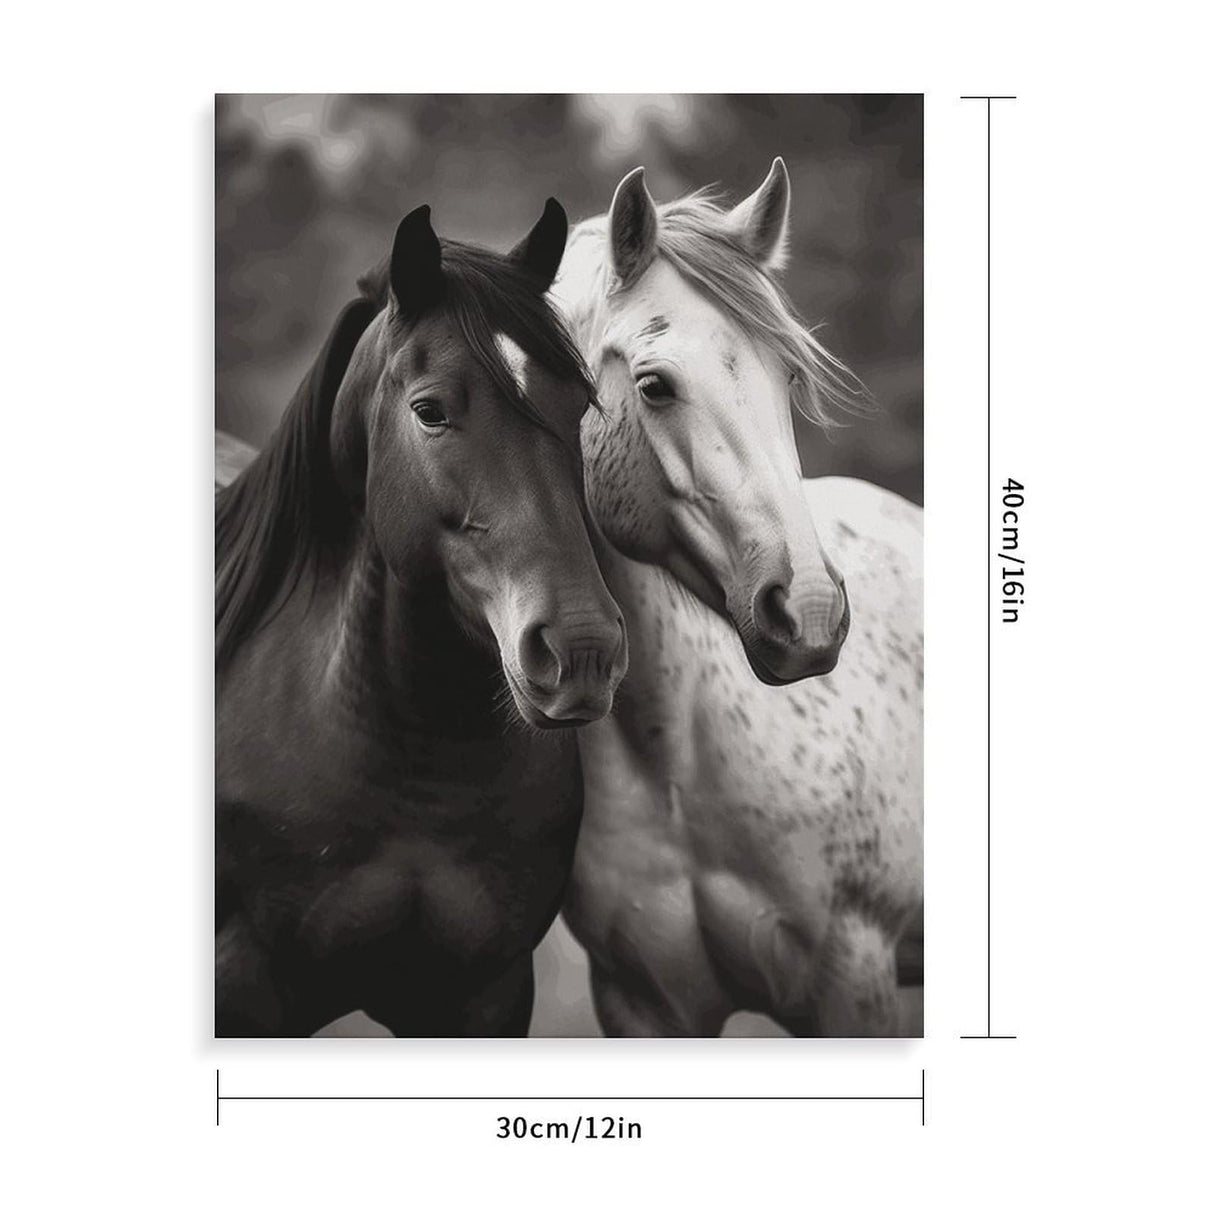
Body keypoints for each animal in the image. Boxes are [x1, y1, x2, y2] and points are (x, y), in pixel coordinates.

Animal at [550, 161, 923, 1036]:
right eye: (654, 386)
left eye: (786, 376)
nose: (810, 613)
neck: (674, 755)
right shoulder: (642, 1002)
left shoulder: (854, 981)